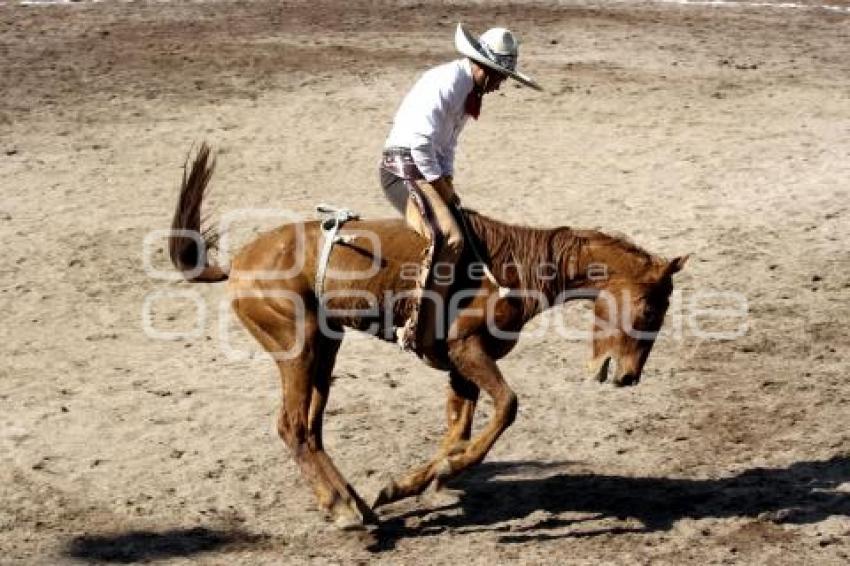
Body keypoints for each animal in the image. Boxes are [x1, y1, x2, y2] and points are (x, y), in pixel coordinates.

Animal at [169, 144, 684, 532]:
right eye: (650, 308)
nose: (630, 377)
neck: (513, 267)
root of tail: (238, 261)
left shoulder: (460, 365)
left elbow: (458, 431)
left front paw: (410, 484)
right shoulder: (466, 349)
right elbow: (506, 407)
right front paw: (442, 474)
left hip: (325, 348)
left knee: (311, 429)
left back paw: (354, 503)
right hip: (298, 346)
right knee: (292, 426)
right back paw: (345, 510)